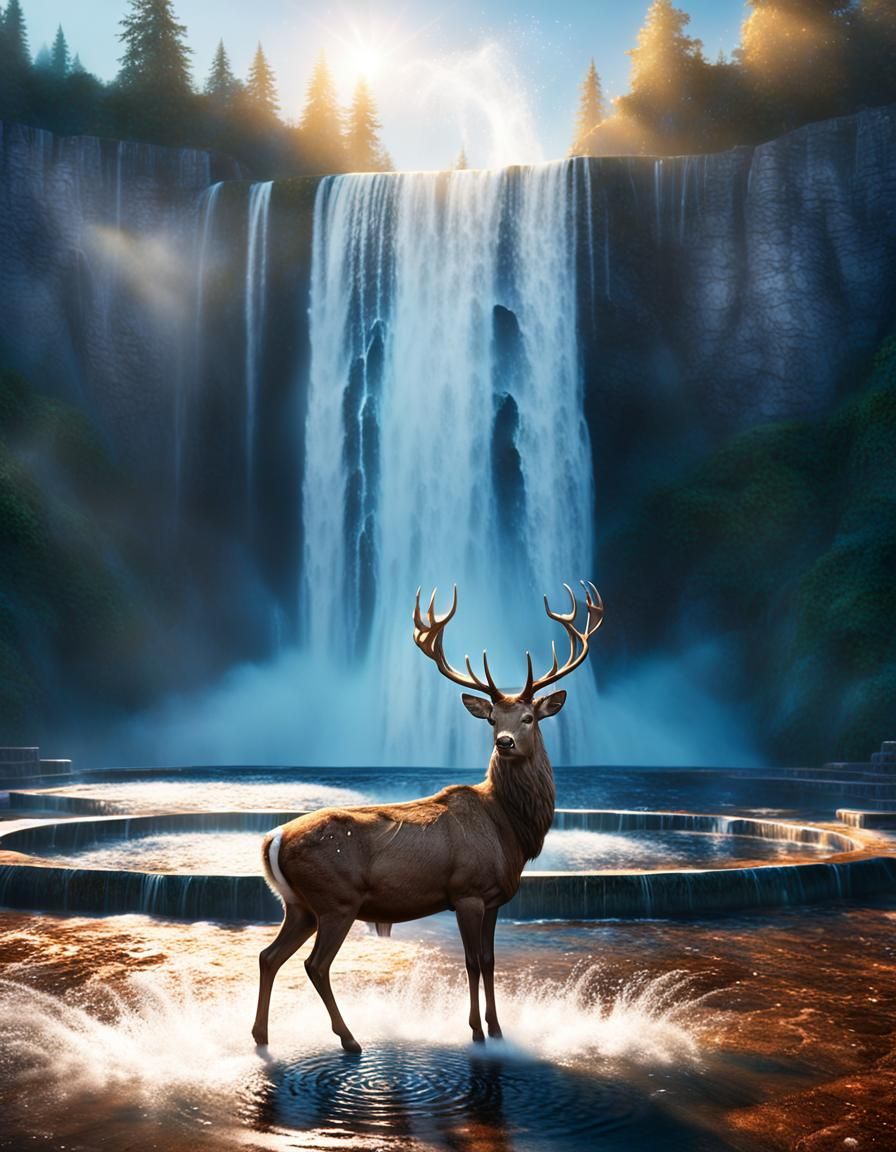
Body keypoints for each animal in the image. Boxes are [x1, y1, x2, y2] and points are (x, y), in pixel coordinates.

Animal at [251, 581, 604, 1053]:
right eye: (492, 719)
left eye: (529, 717)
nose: (505, 742)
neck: (508, 828)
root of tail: (272, 839)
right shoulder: (467, 891)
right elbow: (471, 962)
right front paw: (476, 1033)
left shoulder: (493, 898)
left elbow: (490, 961)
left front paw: (498, 1029)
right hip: (336, 900)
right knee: (315, 964)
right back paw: (349, 1039)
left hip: (298, 905)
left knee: (268, 956)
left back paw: (262, 1037)